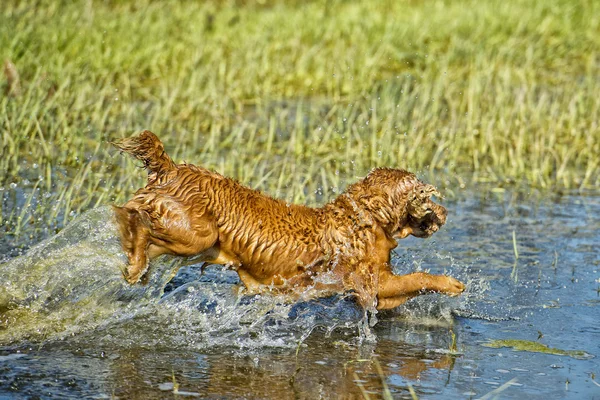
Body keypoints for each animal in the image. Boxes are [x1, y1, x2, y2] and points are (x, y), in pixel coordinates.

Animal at [113, 131, 468, 310]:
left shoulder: (376, 294)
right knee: (136, 221)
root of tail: (172, 168)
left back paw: (136, 269)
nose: (446, 212)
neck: (364, 219)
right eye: (427, 197)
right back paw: (133, 259)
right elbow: (418, 278)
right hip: (195, 234)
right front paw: (452, 284)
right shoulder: (369, 282)